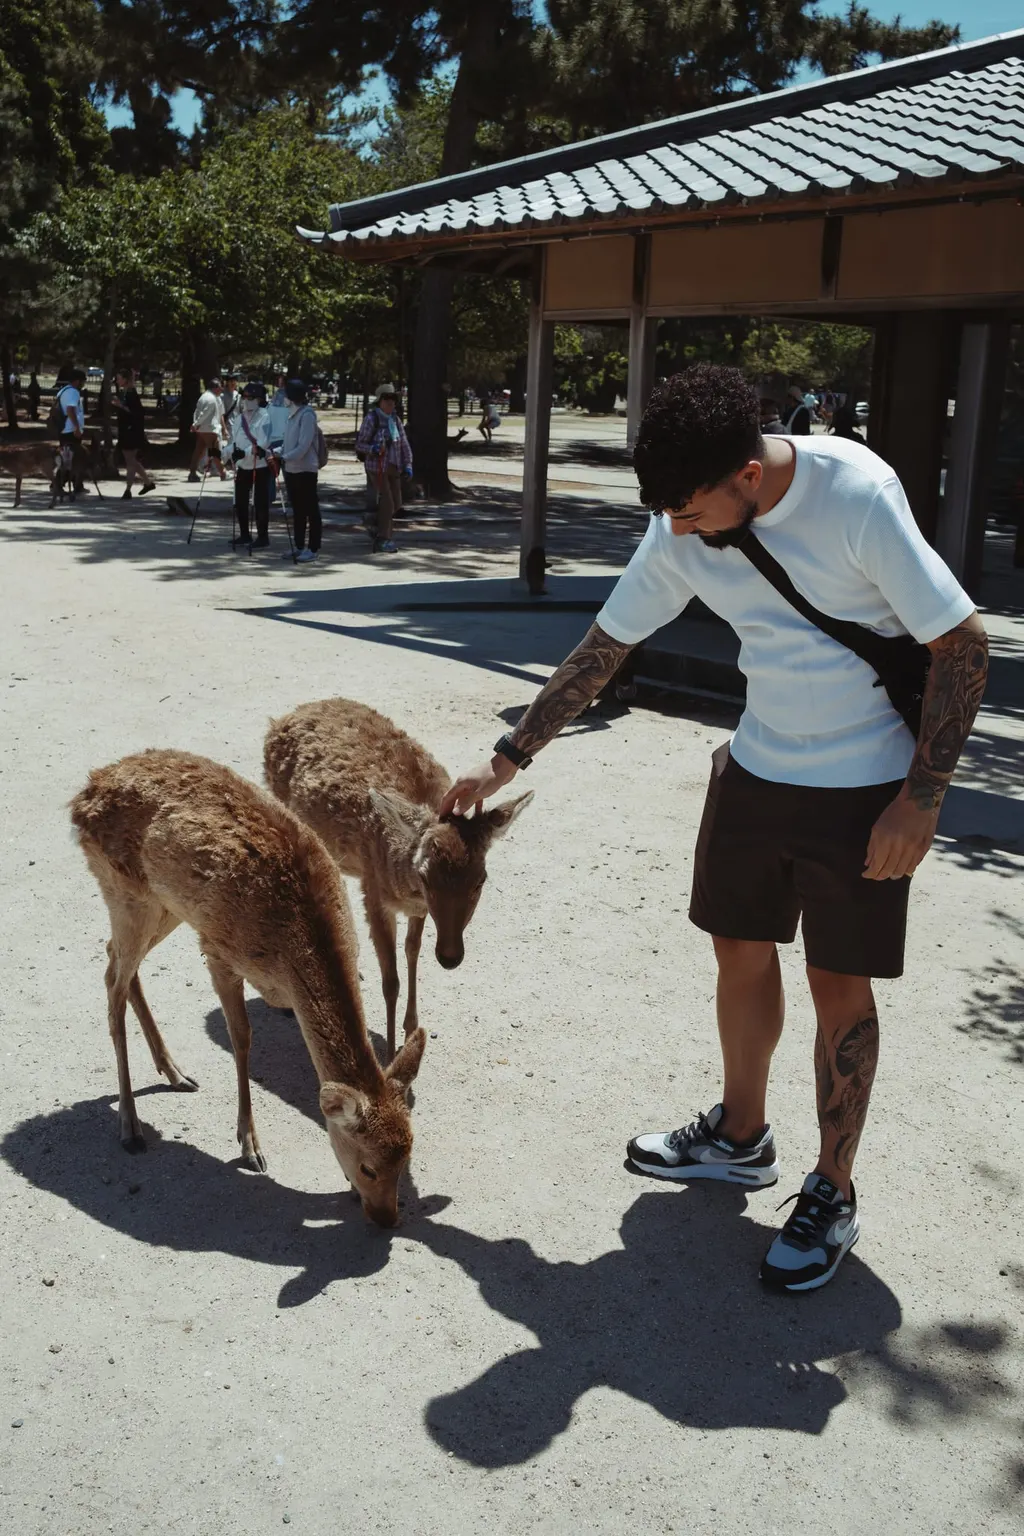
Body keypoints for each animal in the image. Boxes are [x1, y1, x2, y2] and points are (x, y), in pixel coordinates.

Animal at [70, 749, 425, 1228]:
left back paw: (175, 1072)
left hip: (162, 904)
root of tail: (83, 795)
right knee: (112, 980)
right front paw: (250, 1146)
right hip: (124, 890)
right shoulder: (220, 952)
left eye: (406, 1160)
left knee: (119, 965)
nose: (387, 1219)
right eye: (368, 1167)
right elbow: (242, 1040)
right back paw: (131, 1125)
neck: (287, 952)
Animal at [264, 699, 532, 1061]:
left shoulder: (417, 909)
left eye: (481, 881)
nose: (450, 957)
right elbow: (390, 980)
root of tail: (284, 717)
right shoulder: (374, 892)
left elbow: (412, 950)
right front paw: (391, 1053)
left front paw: (410, 1028)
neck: (407, 890)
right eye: (426, 877)